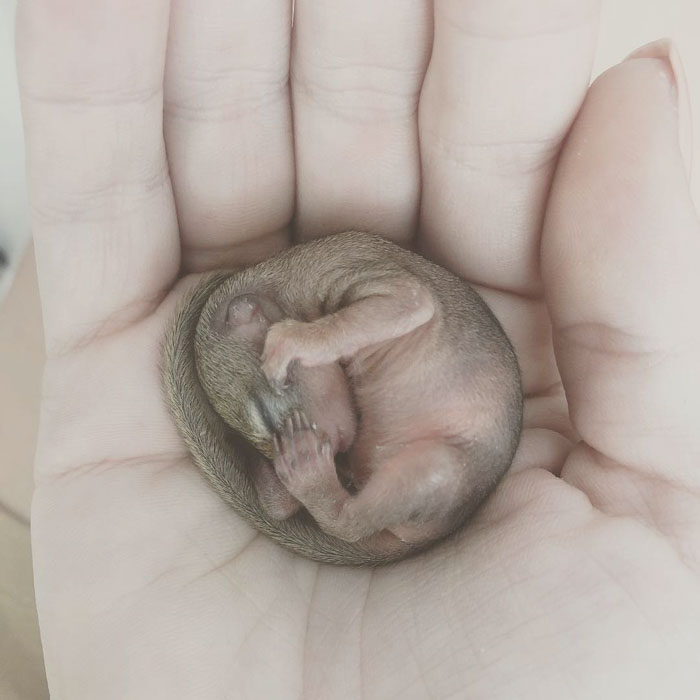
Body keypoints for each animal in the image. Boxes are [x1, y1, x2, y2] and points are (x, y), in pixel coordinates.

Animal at [162, 231, 523, 566]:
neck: (280, 279)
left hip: (436, 469)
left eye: (264, 412)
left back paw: (307, 470)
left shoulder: (345, 270)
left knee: (344, 523)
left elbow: (408, 302)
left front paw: (289, 341)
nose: (335, 454)